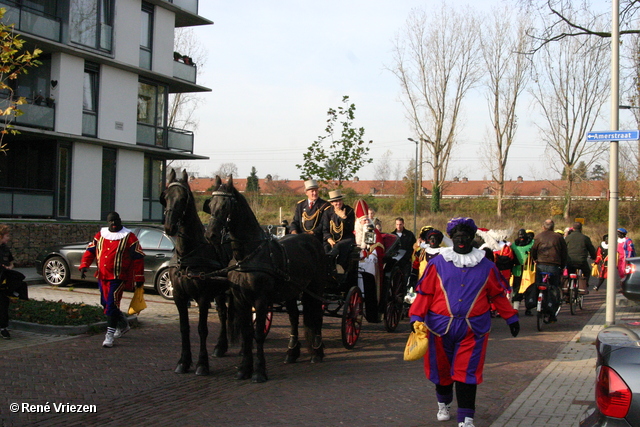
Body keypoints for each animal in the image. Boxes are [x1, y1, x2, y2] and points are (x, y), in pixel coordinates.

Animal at [161, 169, 231, 376]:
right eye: (165, 197)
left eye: (183, 198)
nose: (169, 227)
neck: (188, 253)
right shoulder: (180, 296)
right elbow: (184, 328)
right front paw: (183, 361)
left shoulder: (202, 296)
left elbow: (202, 329)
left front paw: (202, 364)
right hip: (220, 291)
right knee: (223, 313)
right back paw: (221, 346)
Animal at [204, 176, 328, 382]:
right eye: (211, 204)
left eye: (226, 205)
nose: (210, 235)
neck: (247, 256)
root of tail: (313, 241)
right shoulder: (241, 300)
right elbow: (247, 333)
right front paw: (244, 369)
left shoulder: (261, 300)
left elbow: (258, 335)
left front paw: (259, 371)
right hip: (291, 291)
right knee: (294, 317)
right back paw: (291, 352)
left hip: (315, 288)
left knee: (316, 314)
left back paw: (317, 352)